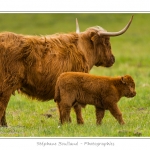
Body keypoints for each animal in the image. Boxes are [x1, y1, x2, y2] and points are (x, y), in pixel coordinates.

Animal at [0, 16, 132, 126]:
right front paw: (80, 123)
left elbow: (62, 106)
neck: (83, 50)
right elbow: (76, 106)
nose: (113, 59)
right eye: (106, 41)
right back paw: (5, 125)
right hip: (8, 83)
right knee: (3, 103)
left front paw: (65, 122)